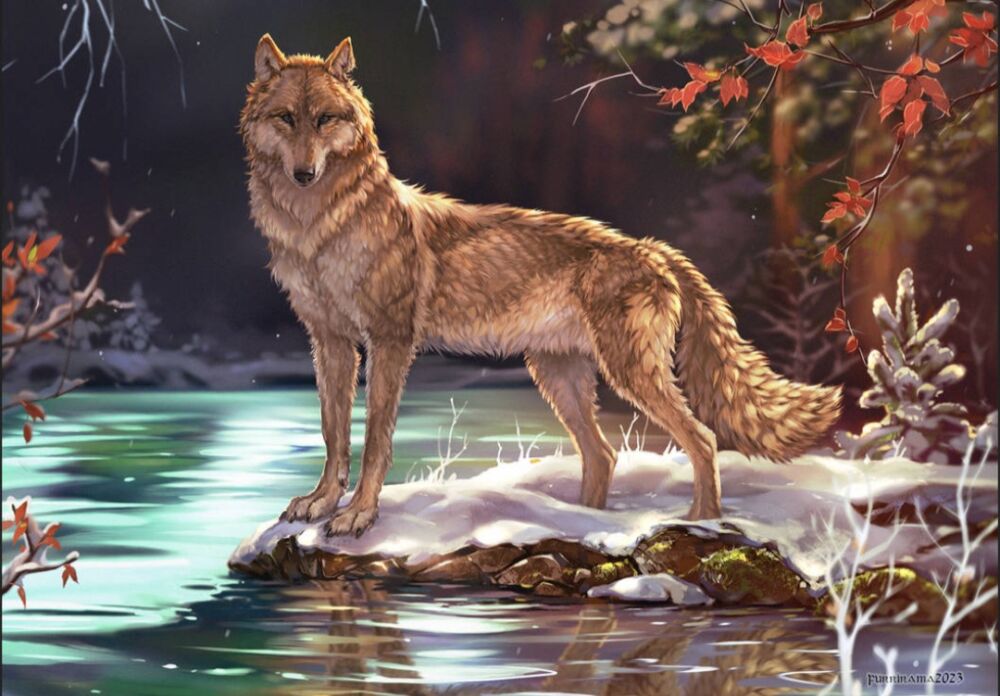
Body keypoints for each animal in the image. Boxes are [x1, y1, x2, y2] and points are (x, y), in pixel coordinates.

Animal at [240, 35, 842, 537]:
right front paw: (320, 503)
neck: (319, 227)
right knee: (603, 455)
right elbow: (333, 432)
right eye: (287, 119)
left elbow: (374, 442)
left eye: (325, 120)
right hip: (559, 378)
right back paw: (585, 524)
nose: (303, 174)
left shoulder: (390, 342)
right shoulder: (330, 342)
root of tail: (654, 248)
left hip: (626, 373)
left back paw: (700, 523)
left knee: (702, 438)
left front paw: (359, 515)